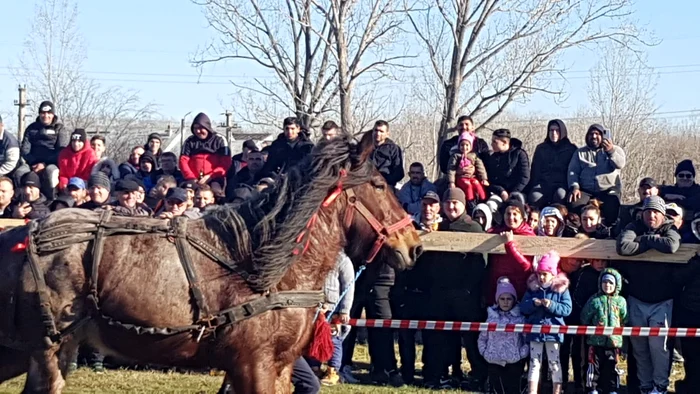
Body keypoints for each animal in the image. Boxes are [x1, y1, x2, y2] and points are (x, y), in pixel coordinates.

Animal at [0, 136, 422, 394]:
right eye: (379, 185)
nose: (413, 246)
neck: (262, 268)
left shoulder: (279, 367)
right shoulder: (255, 366)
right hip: (48, 350)